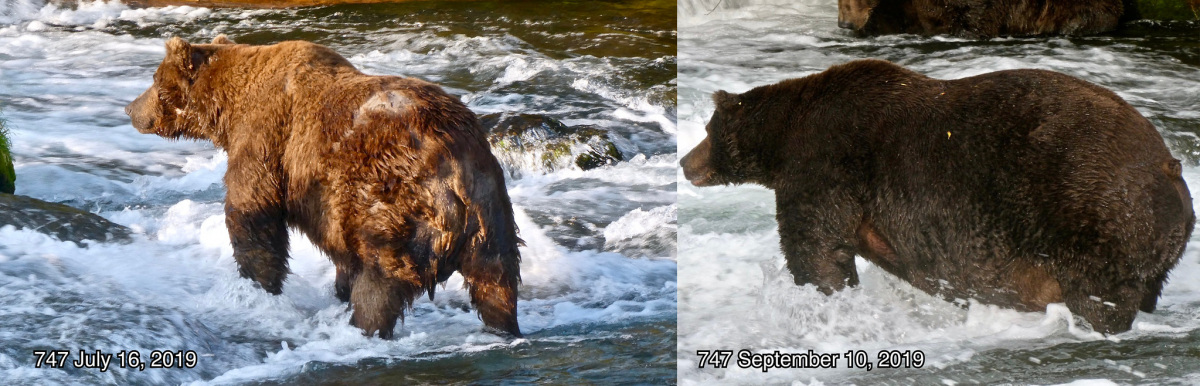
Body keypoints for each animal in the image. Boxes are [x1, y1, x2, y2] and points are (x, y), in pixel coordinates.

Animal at [124, 35, 523, 338]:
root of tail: (455, 166)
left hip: (396, 201)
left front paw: (256, 288)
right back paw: (503, 327)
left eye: (155, 80)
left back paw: (363, 328)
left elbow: (252, 213)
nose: (130, 108)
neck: (228, 108)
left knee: (381, 280)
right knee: (497, 280)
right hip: (492, 212)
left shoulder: (265, 137)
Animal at [681, 58, 1195, 333]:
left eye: (706, 130)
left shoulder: (825, 163)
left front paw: (824, 299)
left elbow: (816, 247)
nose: (686, 162)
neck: (783, 135)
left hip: (1094, 210)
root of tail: (1170, 167)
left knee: (1098, 295)